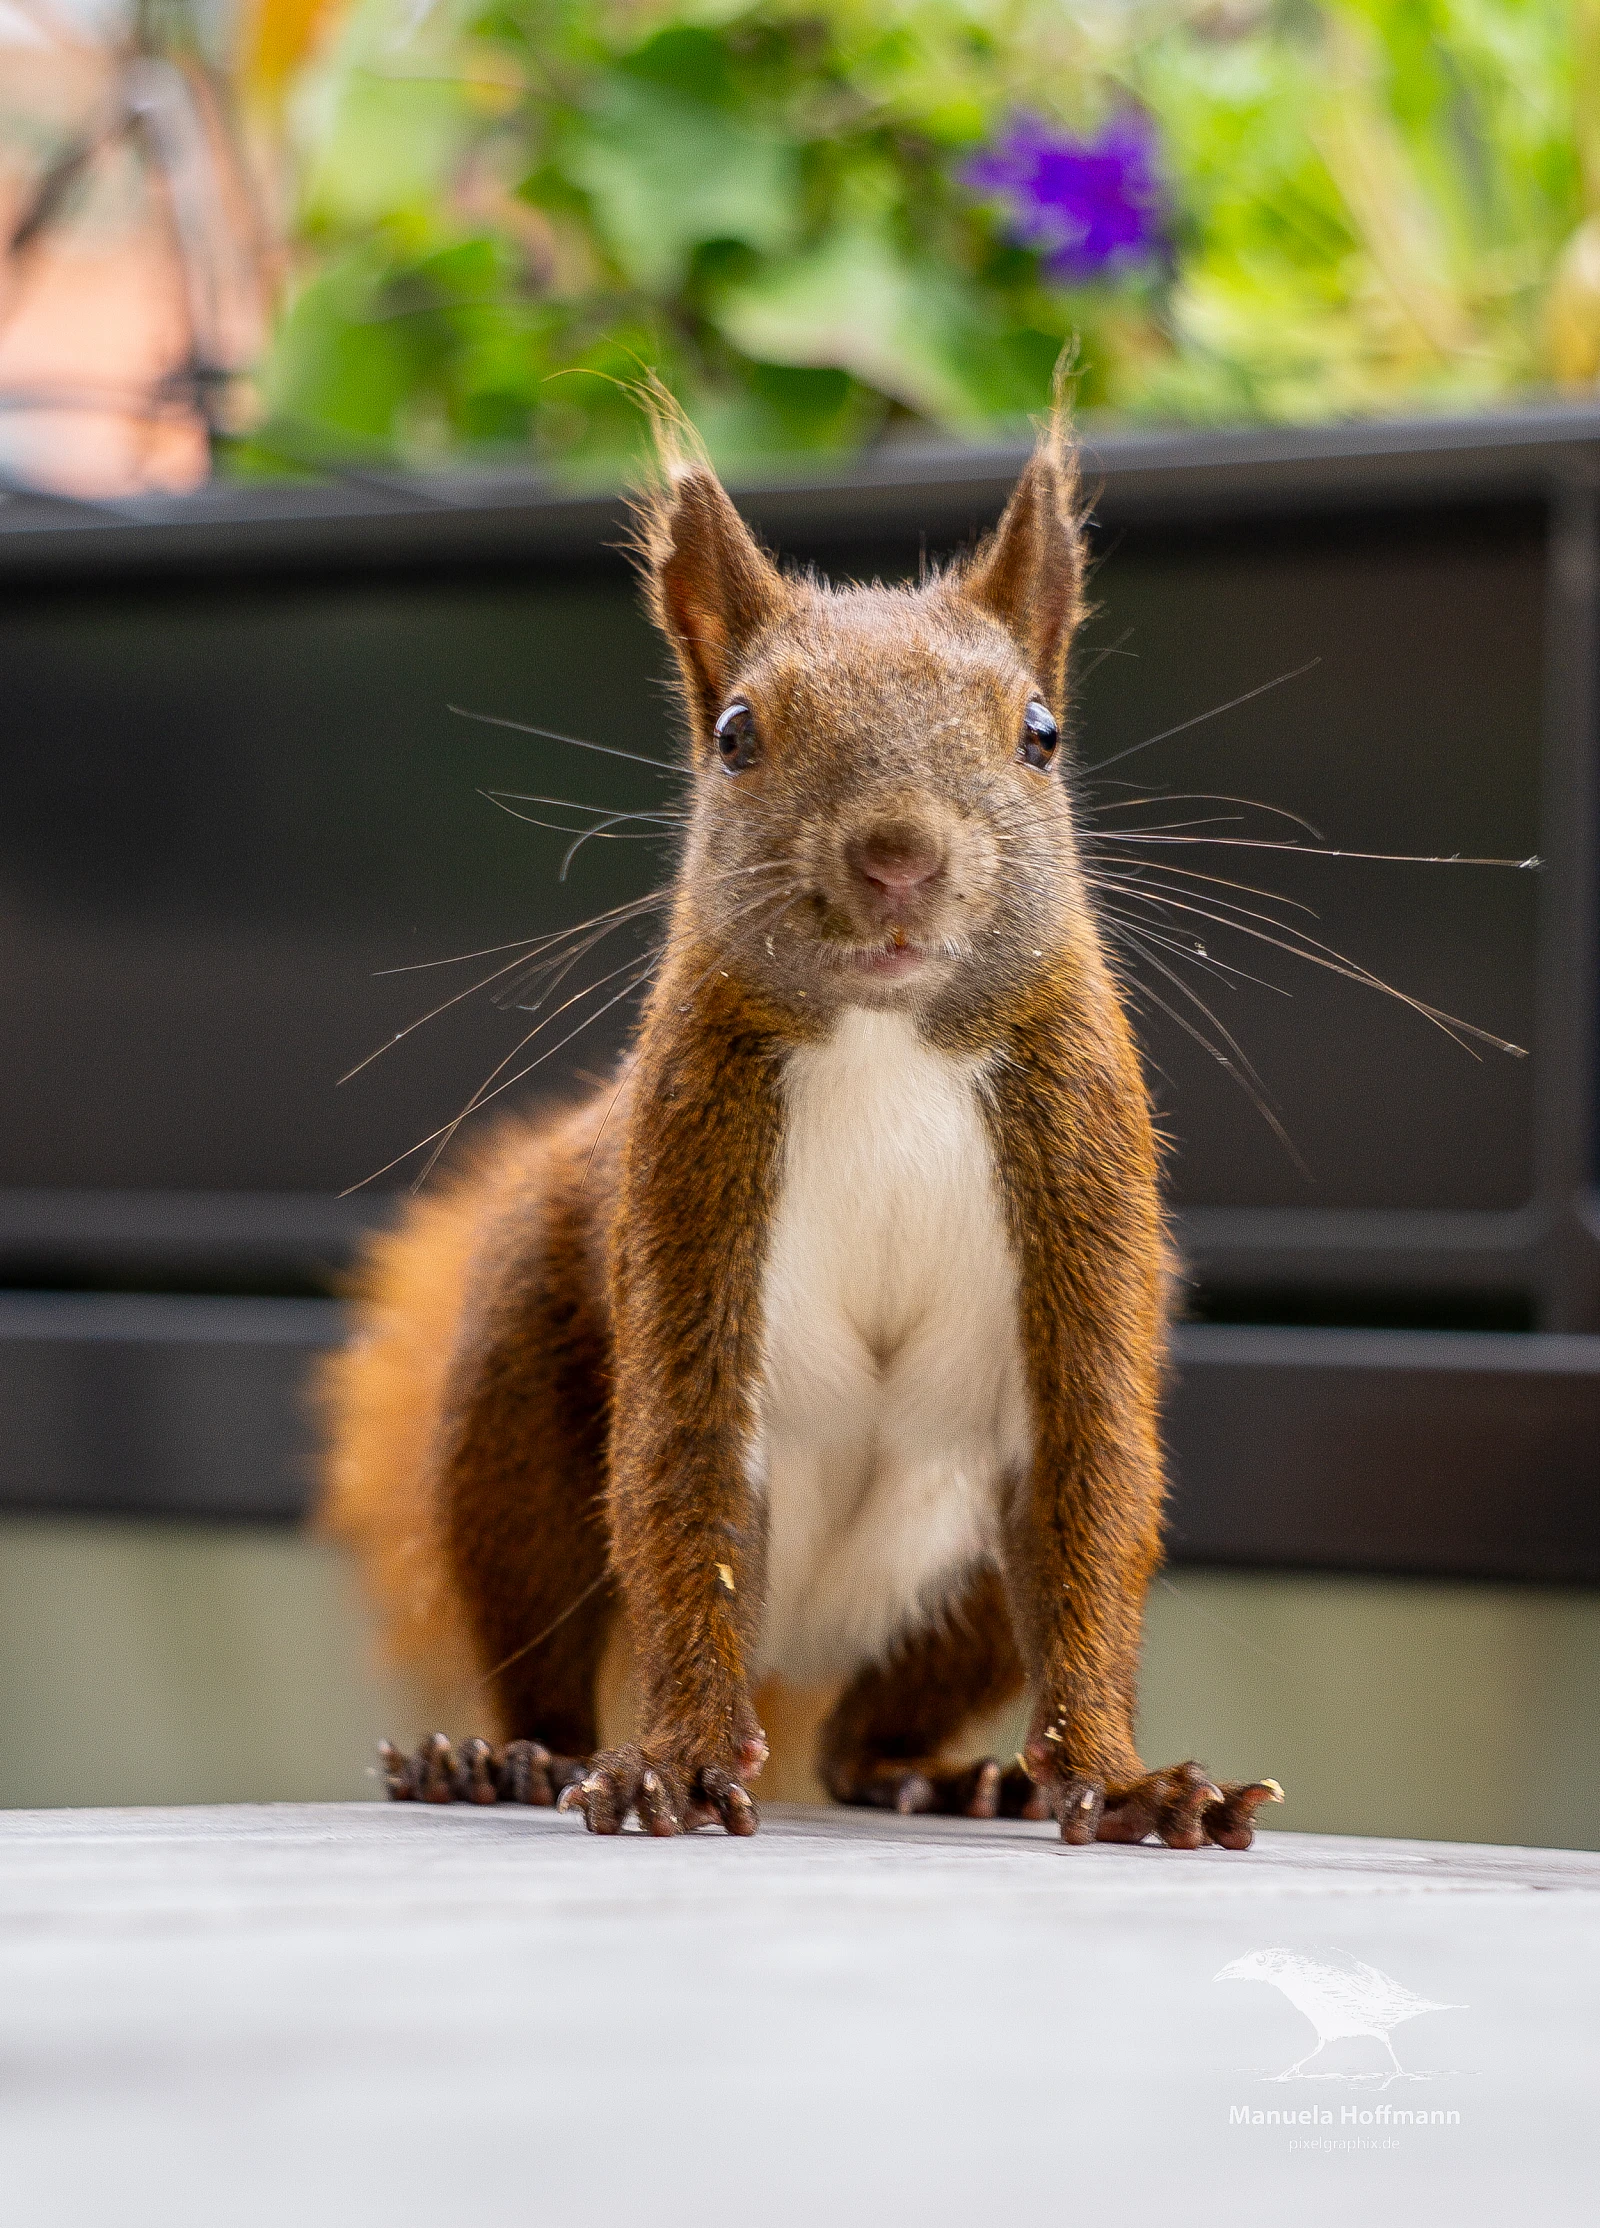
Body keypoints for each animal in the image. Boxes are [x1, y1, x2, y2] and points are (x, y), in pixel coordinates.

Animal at [318, 401, 1283, 1849]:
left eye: (1040, 731)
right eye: (734, 732)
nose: (898, 856)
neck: (886, 1048)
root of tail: (795, 1666)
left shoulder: (1088, 1179)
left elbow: (1094, 1496)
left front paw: (1123, 1784)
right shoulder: (686, 1183)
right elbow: (686, 1488)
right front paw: (673, 1767)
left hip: (956, 1600)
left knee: (868, 1733)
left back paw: (960, 1776)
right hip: (511, 1431)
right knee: (549, 1641)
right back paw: (500, 1758)